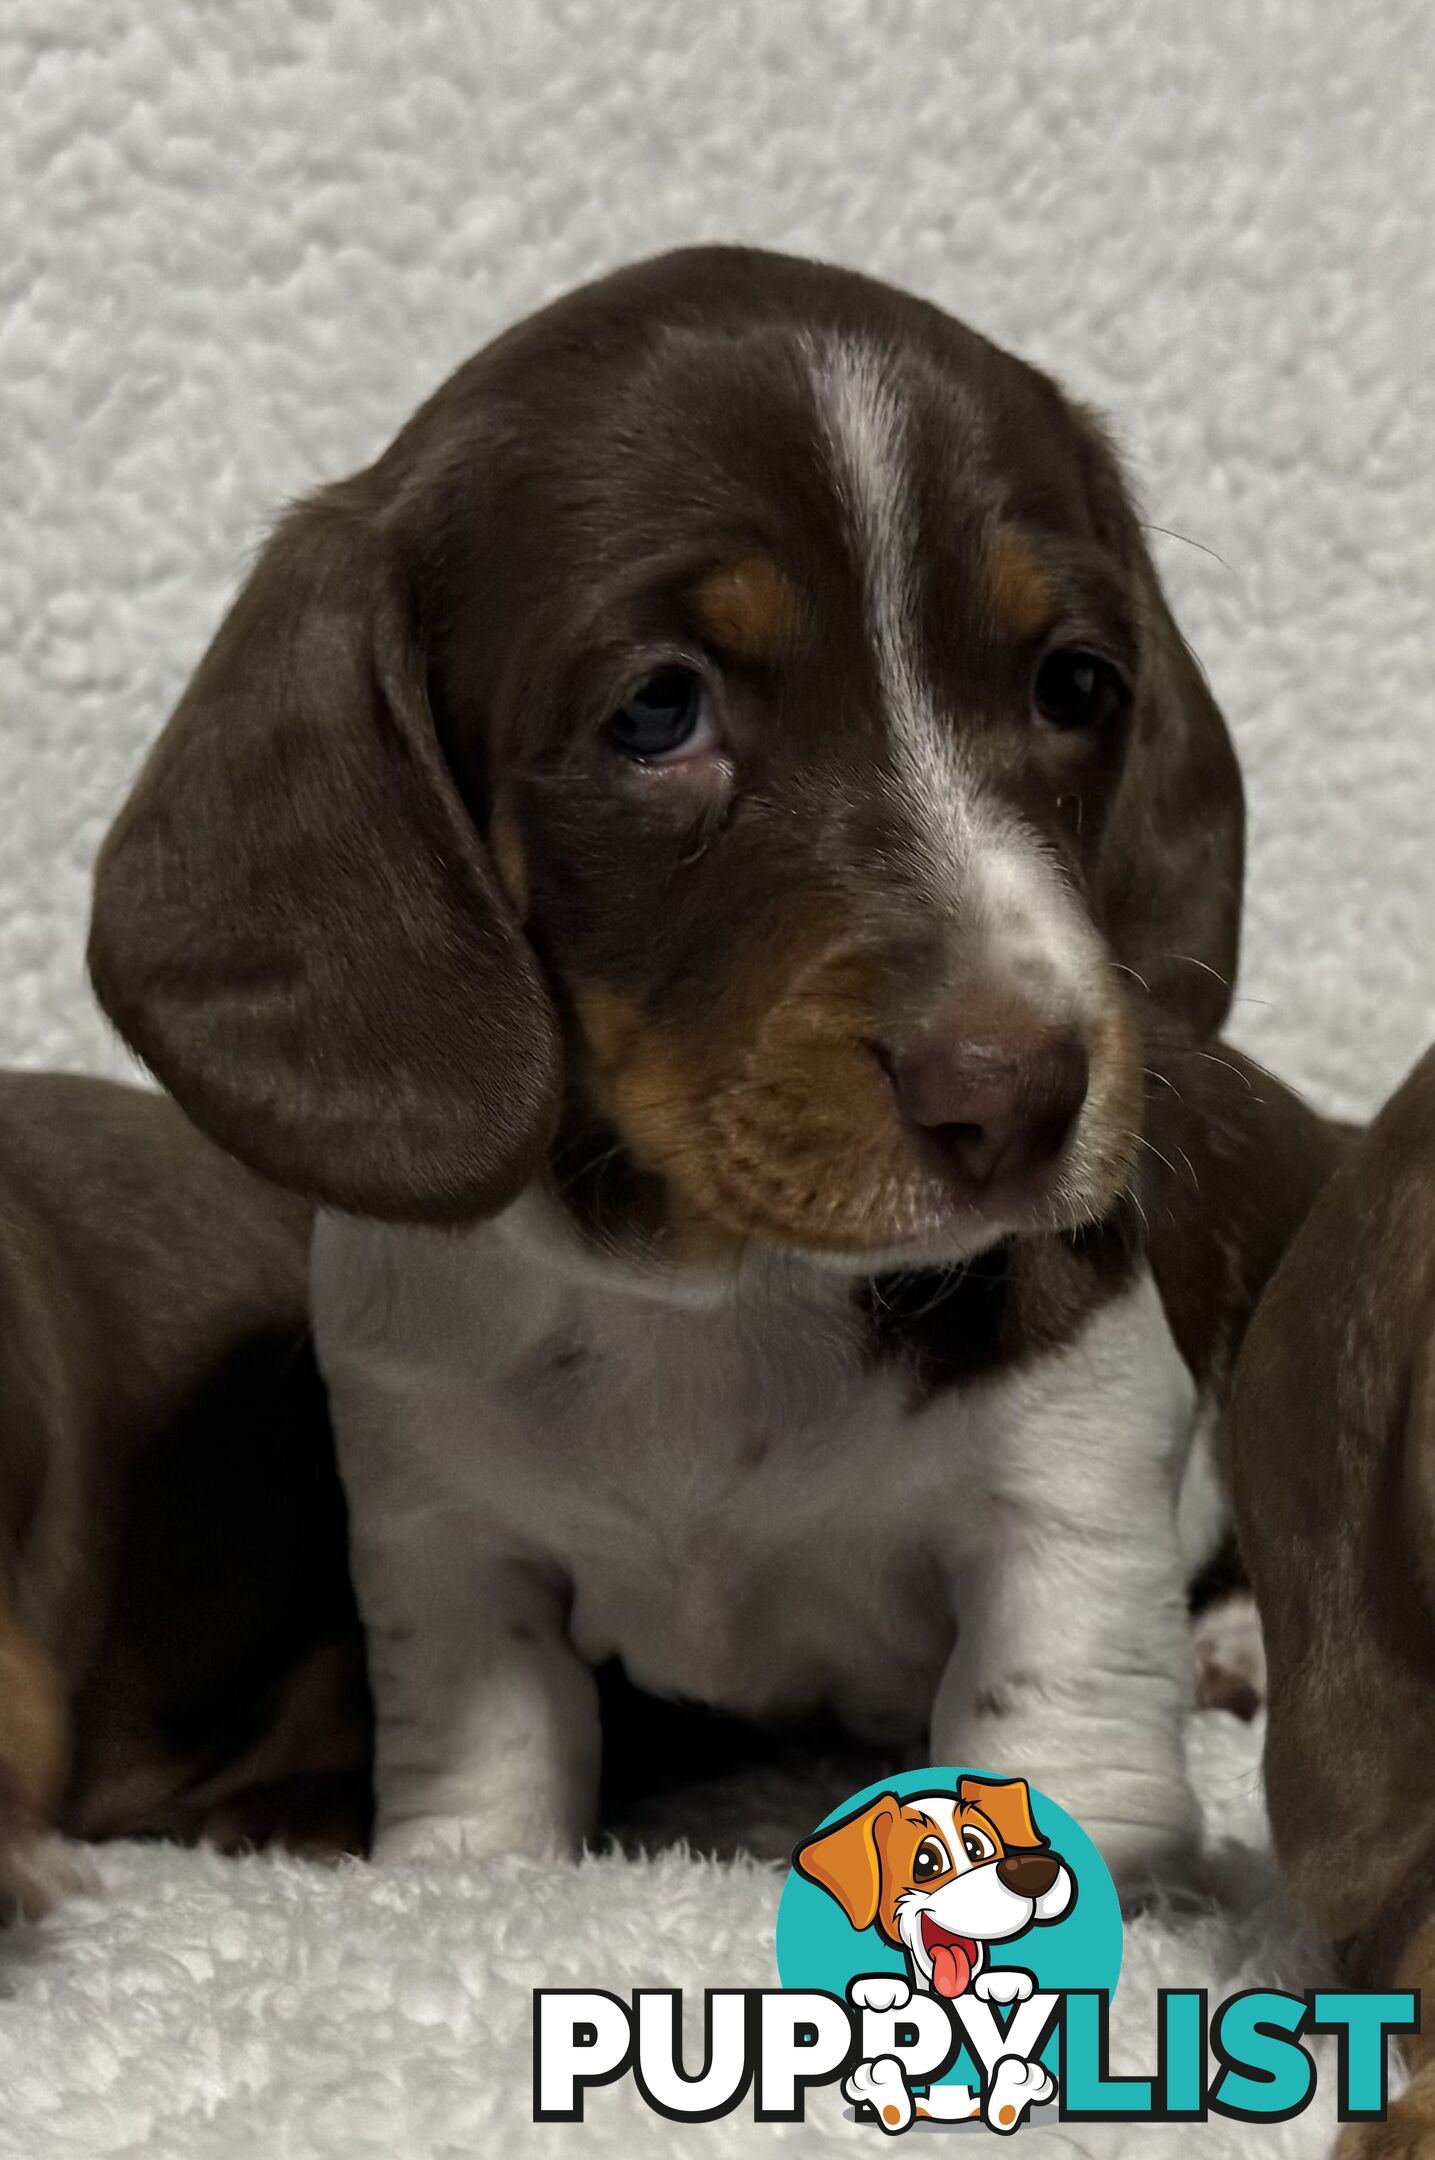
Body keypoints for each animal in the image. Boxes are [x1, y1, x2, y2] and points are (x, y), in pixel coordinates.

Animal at [89, 245, 1331, 1883]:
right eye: (658, 710)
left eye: (1072, 686)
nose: (1018, 1095)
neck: (713, 1295)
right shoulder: (437, 1524)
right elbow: (486, 1764)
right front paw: (462, 1880)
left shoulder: (1068, 1477)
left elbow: (1054, 1725)